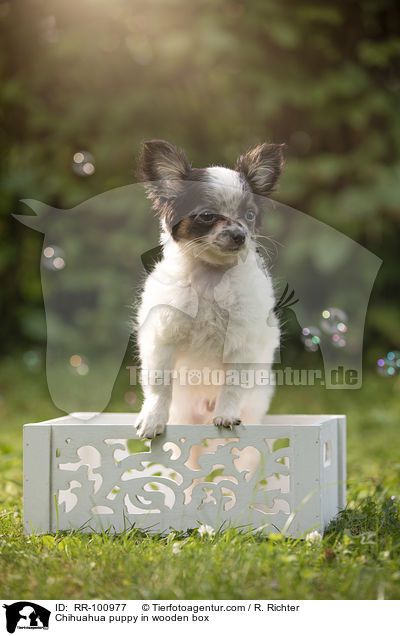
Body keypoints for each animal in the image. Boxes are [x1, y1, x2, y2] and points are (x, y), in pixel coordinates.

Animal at [136, 140, 282, 440]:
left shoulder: (242, 346)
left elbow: (232, 386)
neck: (211, 278)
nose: (239, 235)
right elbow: (159, 385)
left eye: (250, 215)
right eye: (207, 216)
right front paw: (152, 417)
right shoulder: (162, 339)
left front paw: (226, 415)